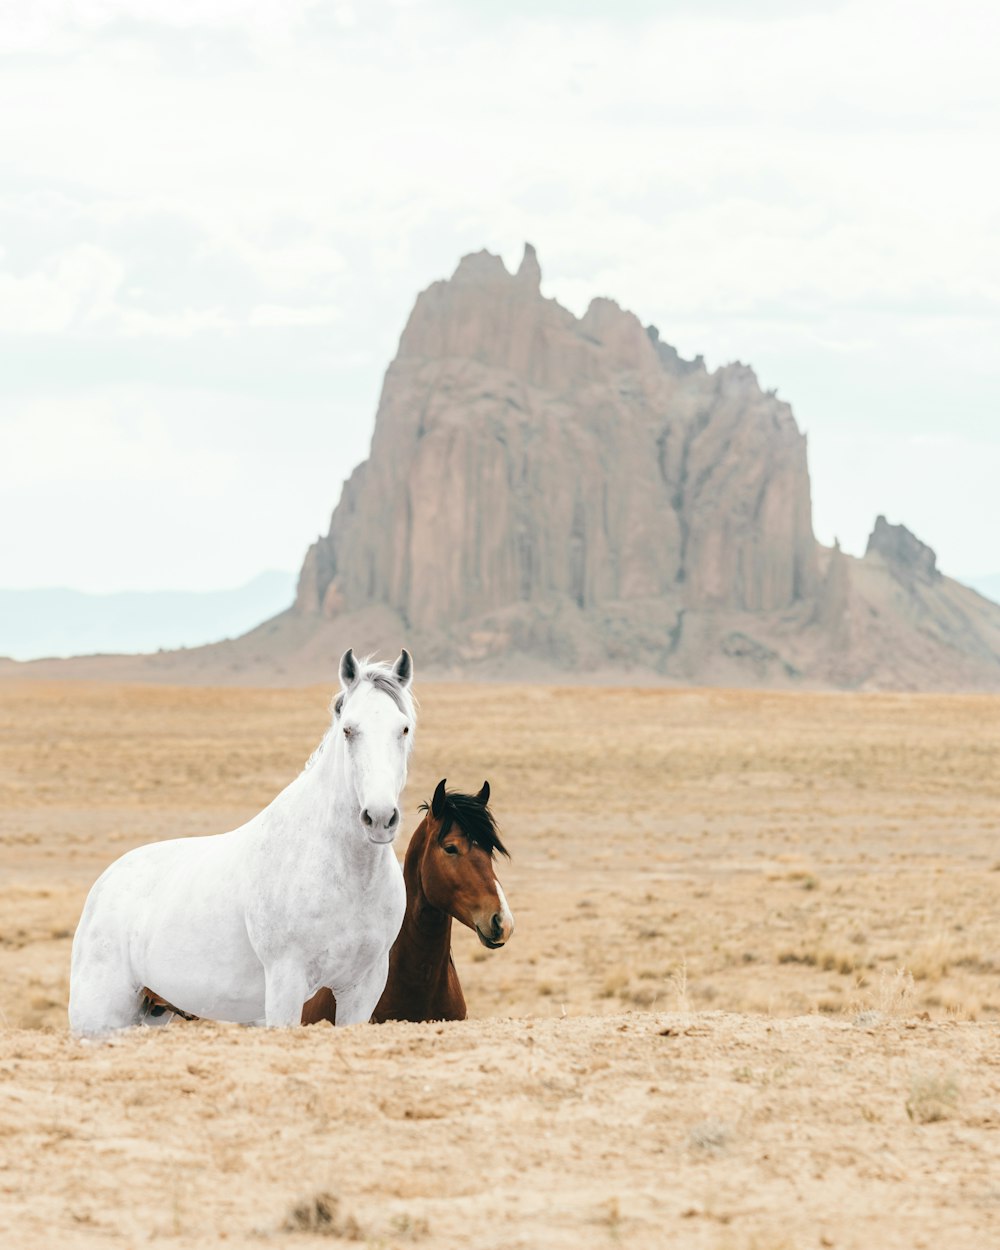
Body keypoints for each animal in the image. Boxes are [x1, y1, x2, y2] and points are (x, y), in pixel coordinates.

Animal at [70, 645, 415, 1035]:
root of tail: (104, 884)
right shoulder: (285, 982)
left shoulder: (362, 987)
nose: (380, 817)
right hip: (99, 1018)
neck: (342, 871)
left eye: (403, 728)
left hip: (151, 1011)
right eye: (348, 730)